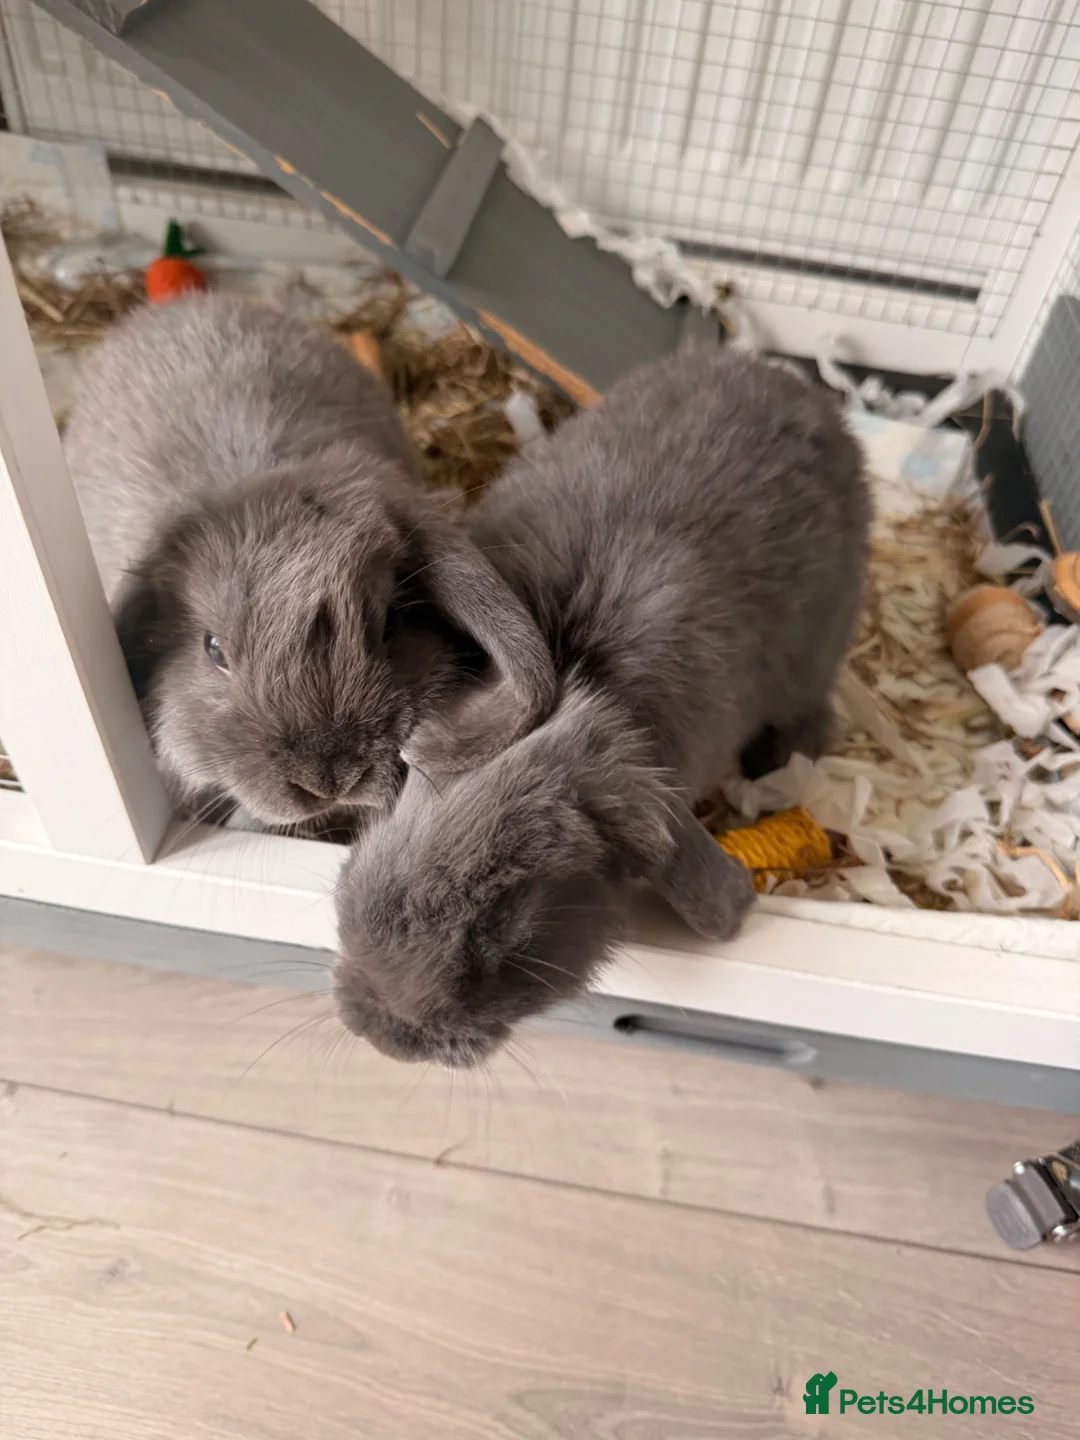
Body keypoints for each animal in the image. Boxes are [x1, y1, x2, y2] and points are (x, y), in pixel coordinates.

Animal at [333, 344, 871, 1067]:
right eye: (386, 836)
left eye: (506, 921)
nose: (381, 1033)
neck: (582, 670)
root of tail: (792, 384)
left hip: (819, 651)